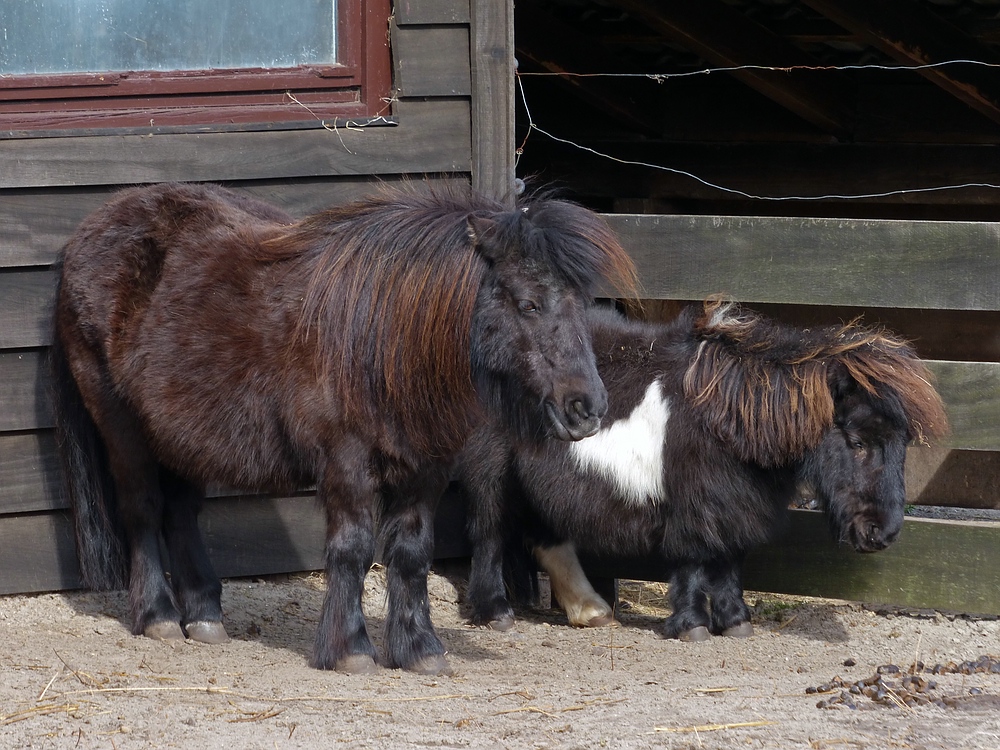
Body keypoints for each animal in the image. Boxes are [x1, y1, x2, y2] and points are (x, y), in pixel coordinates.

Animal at [50, 182, 632, 676]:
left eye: (582, 303)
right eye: (529, 303)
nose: (587, 407)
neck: (381, 337)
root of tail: (90, 230)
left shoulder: (424, 469)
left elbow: (412, 554)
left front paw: (420, 650)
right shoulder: (347, 462)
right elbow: (352, 548)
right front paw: (351, 649)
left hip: (181, 434)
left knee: (180, 513)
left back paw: (205, 615)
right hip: (122, 426)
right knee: (144, 509)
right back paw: (158, 616)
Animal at [460, 300, 944, 640]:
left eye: (902, 445)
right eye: (858, 442)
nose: (882, 534)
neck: (733, 414)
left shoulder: (736, 503)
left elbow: (729, 561)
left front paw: (735, 622)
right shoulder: (696, 505)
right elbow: (694, 559)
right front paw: (692, 625)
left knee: (545, 537)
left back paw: (590, 610)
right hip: (493, 474)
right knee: (490, 534)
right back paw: (495, 613)